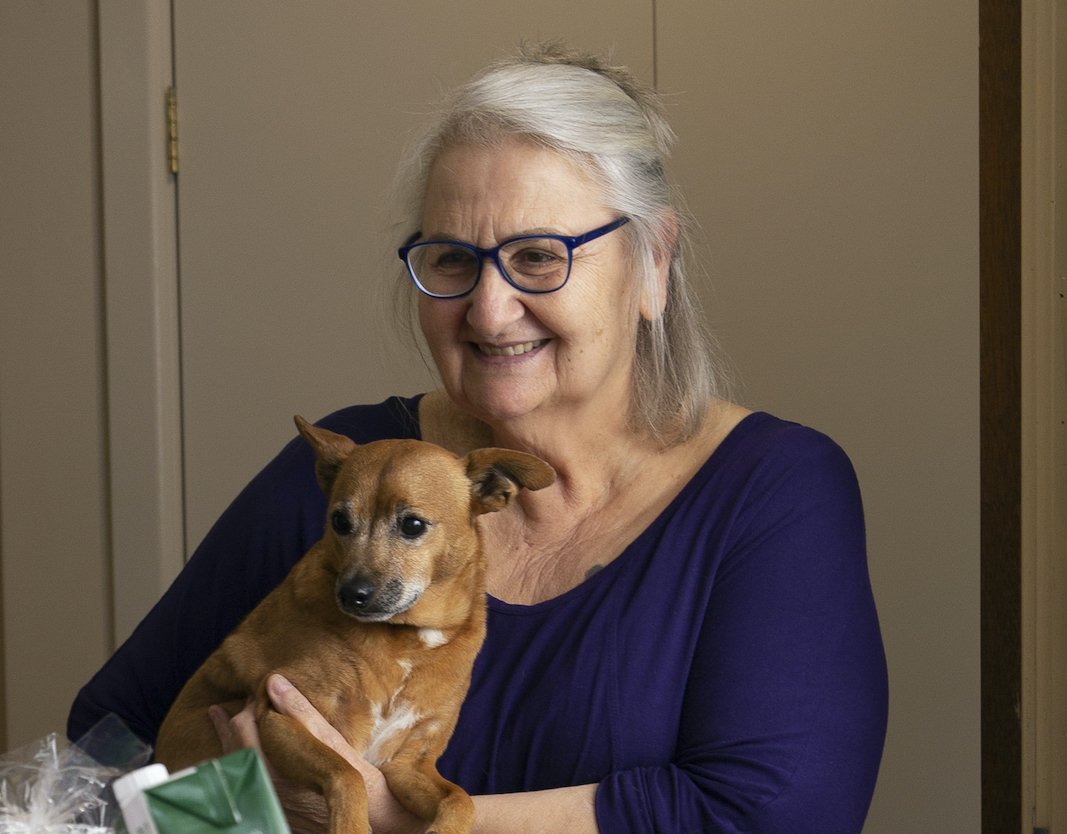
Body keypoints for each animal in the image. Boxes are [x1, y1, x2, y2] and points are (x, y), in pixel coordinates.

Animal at [154, 418, 554, 834]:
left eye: (413, 525)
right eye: (340, 521)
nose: (351, 594)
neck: (405, 639)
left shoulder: (408, 764)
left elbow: (460, 800)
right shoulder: (282, 719)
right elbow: (347, 773)